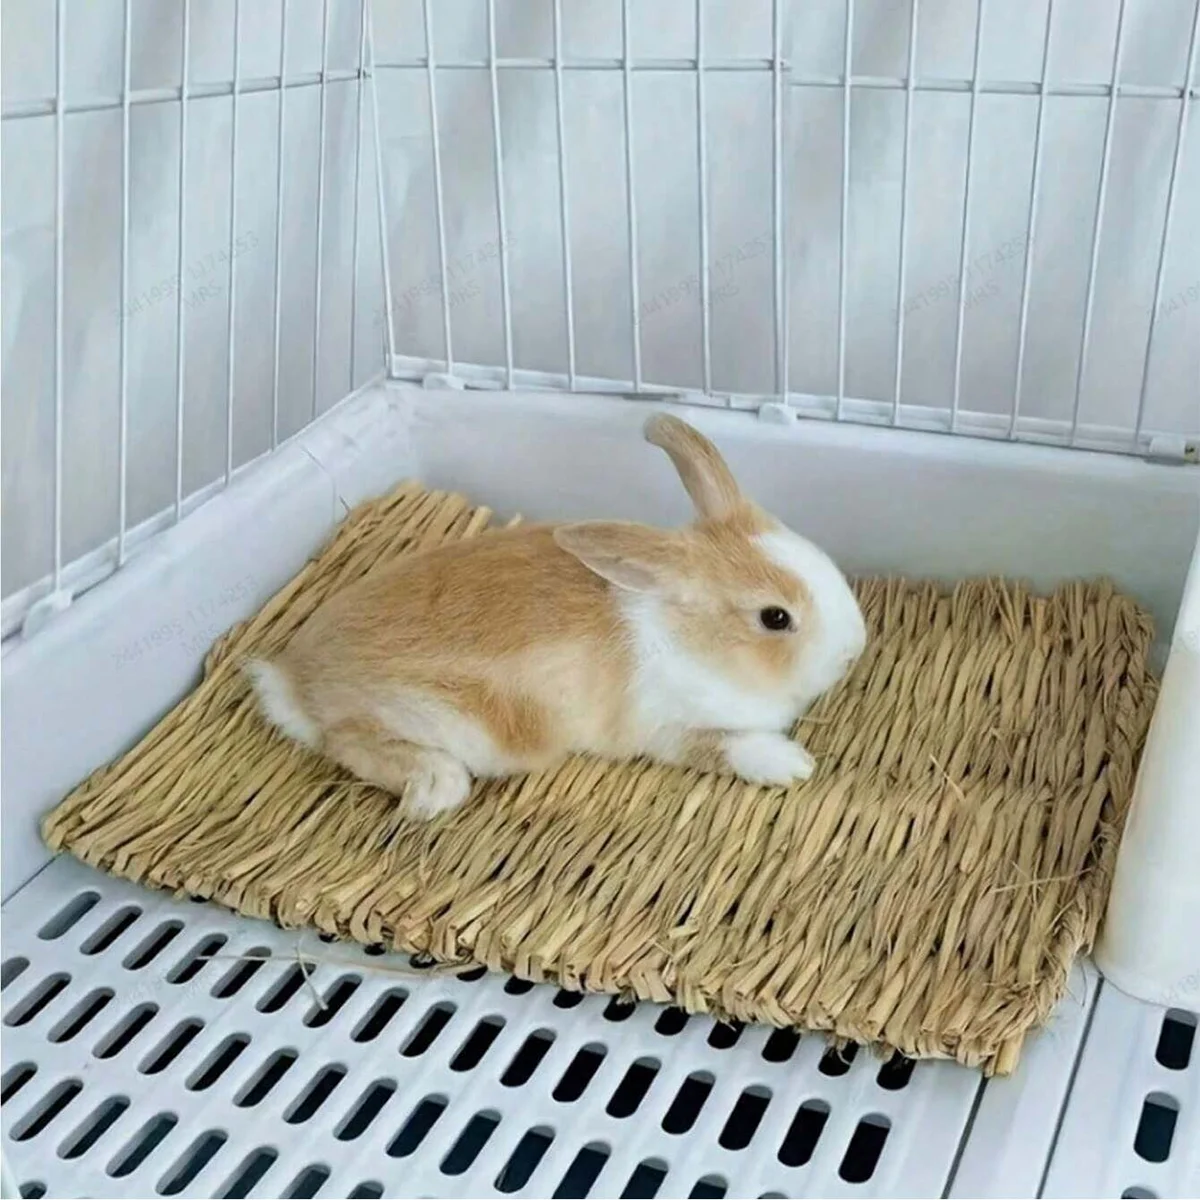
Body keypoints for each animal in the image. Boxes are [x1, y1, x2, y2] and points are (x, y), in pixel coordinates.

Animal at [246, 413, 867, 819]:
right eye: (775, 618)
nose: (854, 647)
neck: (690, 638)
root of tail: (292, 678)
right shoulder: (666, 728)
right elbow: (726, 745)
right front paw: (792, 764)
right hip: (438, 719)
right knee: (345, 741)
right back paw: (436, 784)